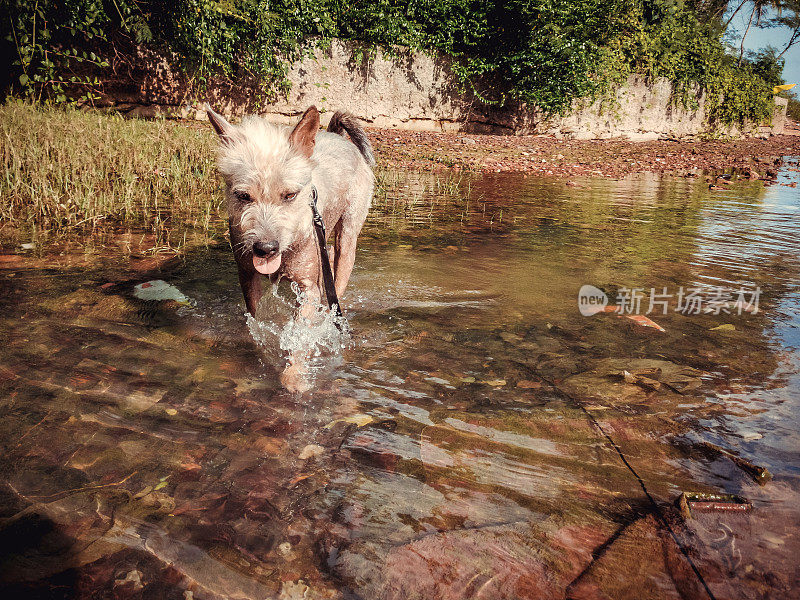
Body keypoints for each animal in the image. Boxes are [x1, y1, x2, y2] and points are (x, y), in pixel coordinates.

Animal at [203, 105, 372, 316]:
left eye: (290, 195)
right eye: (243, 195)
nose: (266, 248)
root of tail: (338, 136)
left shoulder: (309, 289)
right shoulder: (247, 276)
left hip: (348, 236)